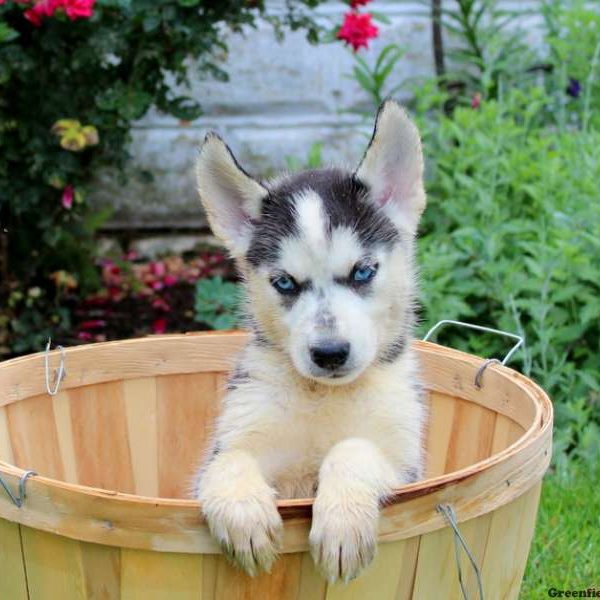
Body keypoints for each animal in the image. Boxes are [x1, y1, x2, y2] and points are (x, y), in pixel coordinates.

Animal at [195, 101, 424, 584]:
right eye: (285, 282)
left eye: (362, 271)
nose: (330, 354)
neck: (324, 397)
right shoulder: (236, 438)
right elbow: (229, 459)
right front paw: (244, 514)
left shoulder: (407, 465)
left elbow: (353, 448)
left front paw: (342, 524)